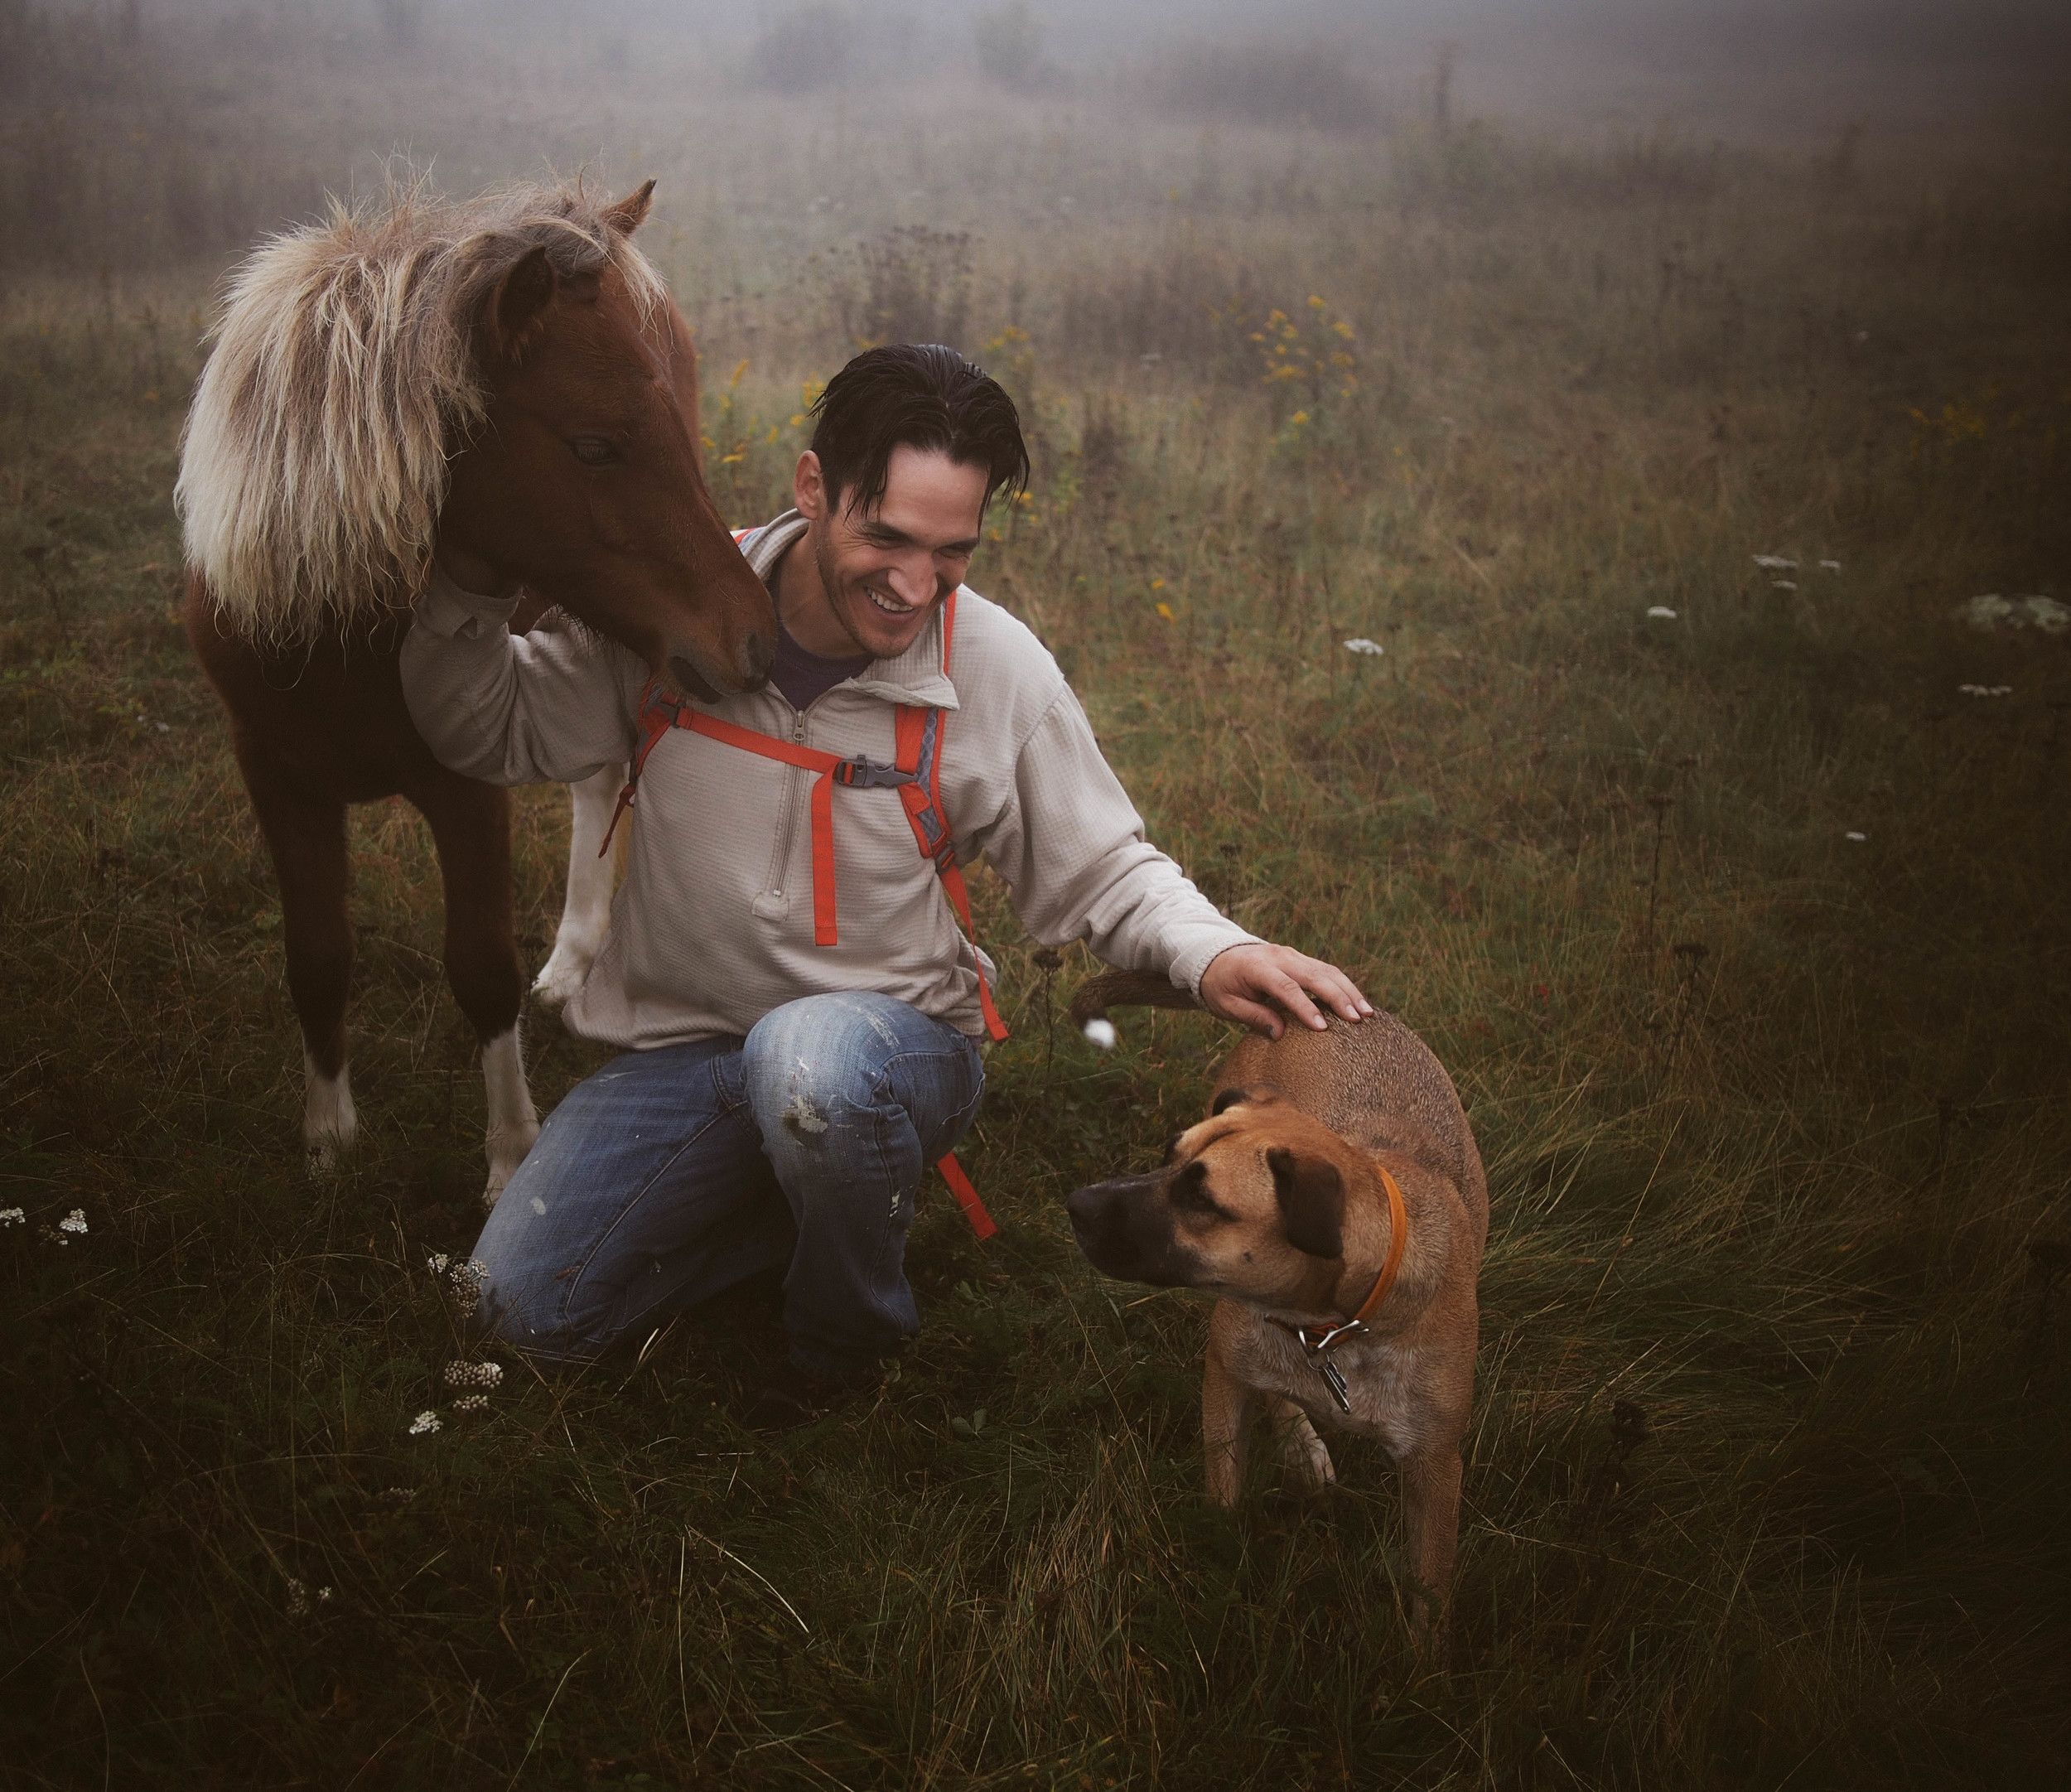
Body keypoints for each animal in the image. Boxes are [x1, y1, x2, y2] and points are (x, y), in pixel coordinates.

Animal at [178, 178, 775, 1201]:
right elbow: (317, 956)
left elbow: (481, 967)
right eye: (594, 445)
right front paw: (327, 1138)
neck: (336, 621)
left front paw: (509, 1156)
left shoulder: (465, 785)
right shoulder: (276, 775)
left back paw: (572, 964)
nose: (755, 636)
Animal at [1069, 973, 1491, 1640]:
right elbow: (1224, 1490)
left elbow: (1431, 1599)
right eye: (1168, 1154)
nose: (1077, 1205)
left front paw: (1422, 1665)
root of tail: (1309, 1007)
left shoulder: (1435, 1467)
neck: (1337, 1328)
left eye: (1202, 1200)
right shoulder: (1225, 1372)